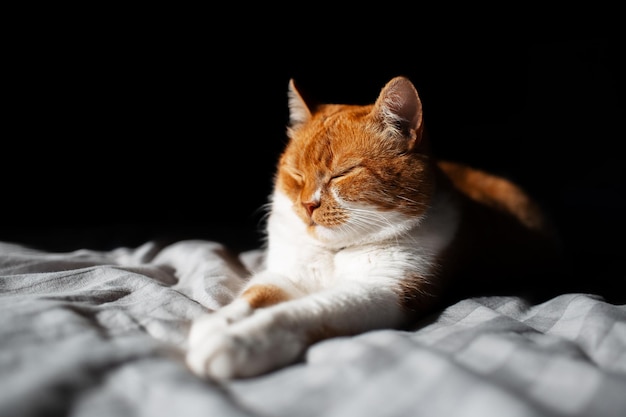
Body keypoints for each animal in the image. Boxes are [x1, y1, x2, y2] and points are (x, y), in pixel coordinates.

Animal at [184, 75, 560, 380]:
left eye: (343, 174)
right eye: (296, 175)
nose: (308, 205)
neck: (336, 251)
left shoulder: (381, 293)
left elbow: (301, 312)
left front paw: (237, 342)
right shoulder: (285, 276)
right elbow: (253, 297)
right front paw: (218, 323)